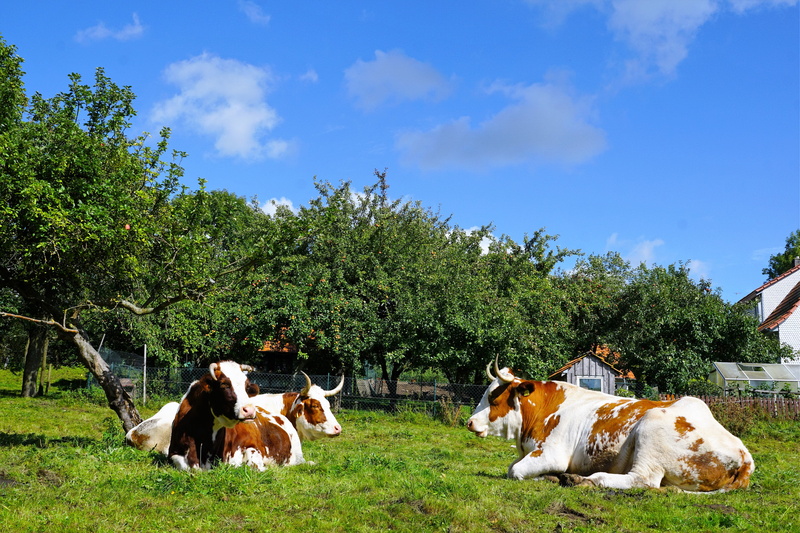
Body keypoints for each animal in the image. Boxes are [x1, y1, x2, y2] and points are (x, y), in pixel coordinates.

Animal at [467, 358, 754, 492]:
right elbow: (512, 466)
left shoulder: (552, 453)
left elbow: (514, 471)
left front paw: (549, 476)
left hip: (651, 428)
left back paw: (585, 480)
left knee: (643, 480)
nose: (469, 422)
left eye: (493, 398)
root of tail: (744, 455)